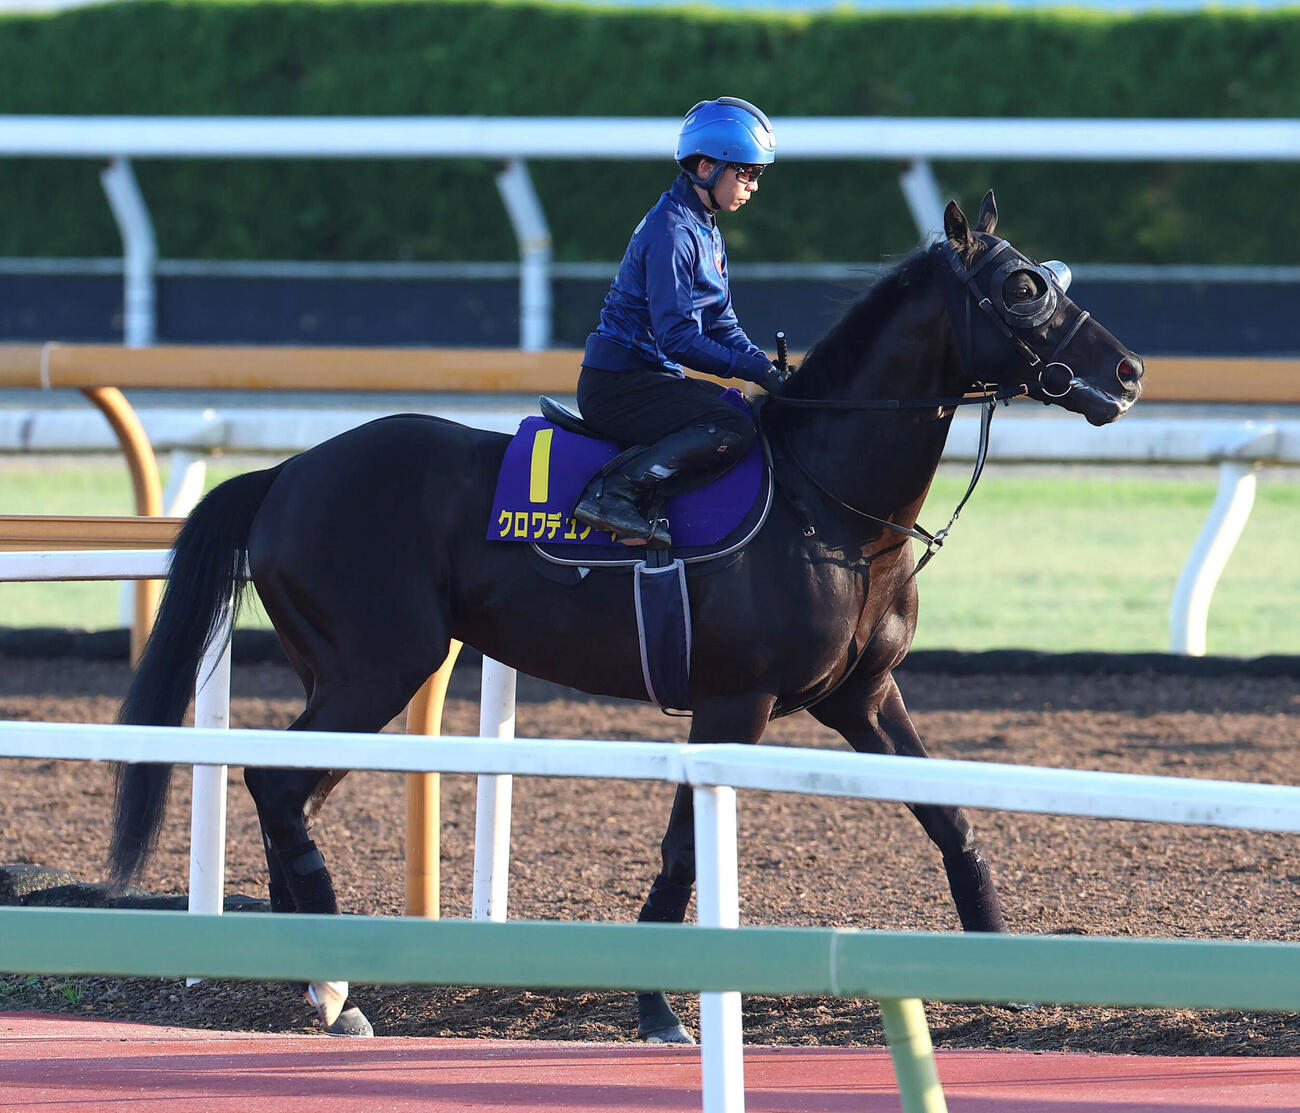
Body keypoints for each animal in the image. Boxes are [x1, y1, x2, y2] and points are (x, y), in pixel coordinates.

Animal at [109, 191, 1143, 1041]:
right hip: (378, 667)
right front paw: (657, 1006)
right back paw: (334, 991)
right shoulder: (735, 699)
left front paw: (1004, 965)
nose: (1131, 371)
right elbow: (685, 847)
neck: (830, 502)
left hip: (350, 676)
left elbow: (949, 815)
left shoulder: (860, 693)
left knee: (288, 792)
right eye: (1020, 287)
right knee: (277, 785)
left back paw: (316, 981)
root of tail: (286, 471)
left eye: (1051, 274)